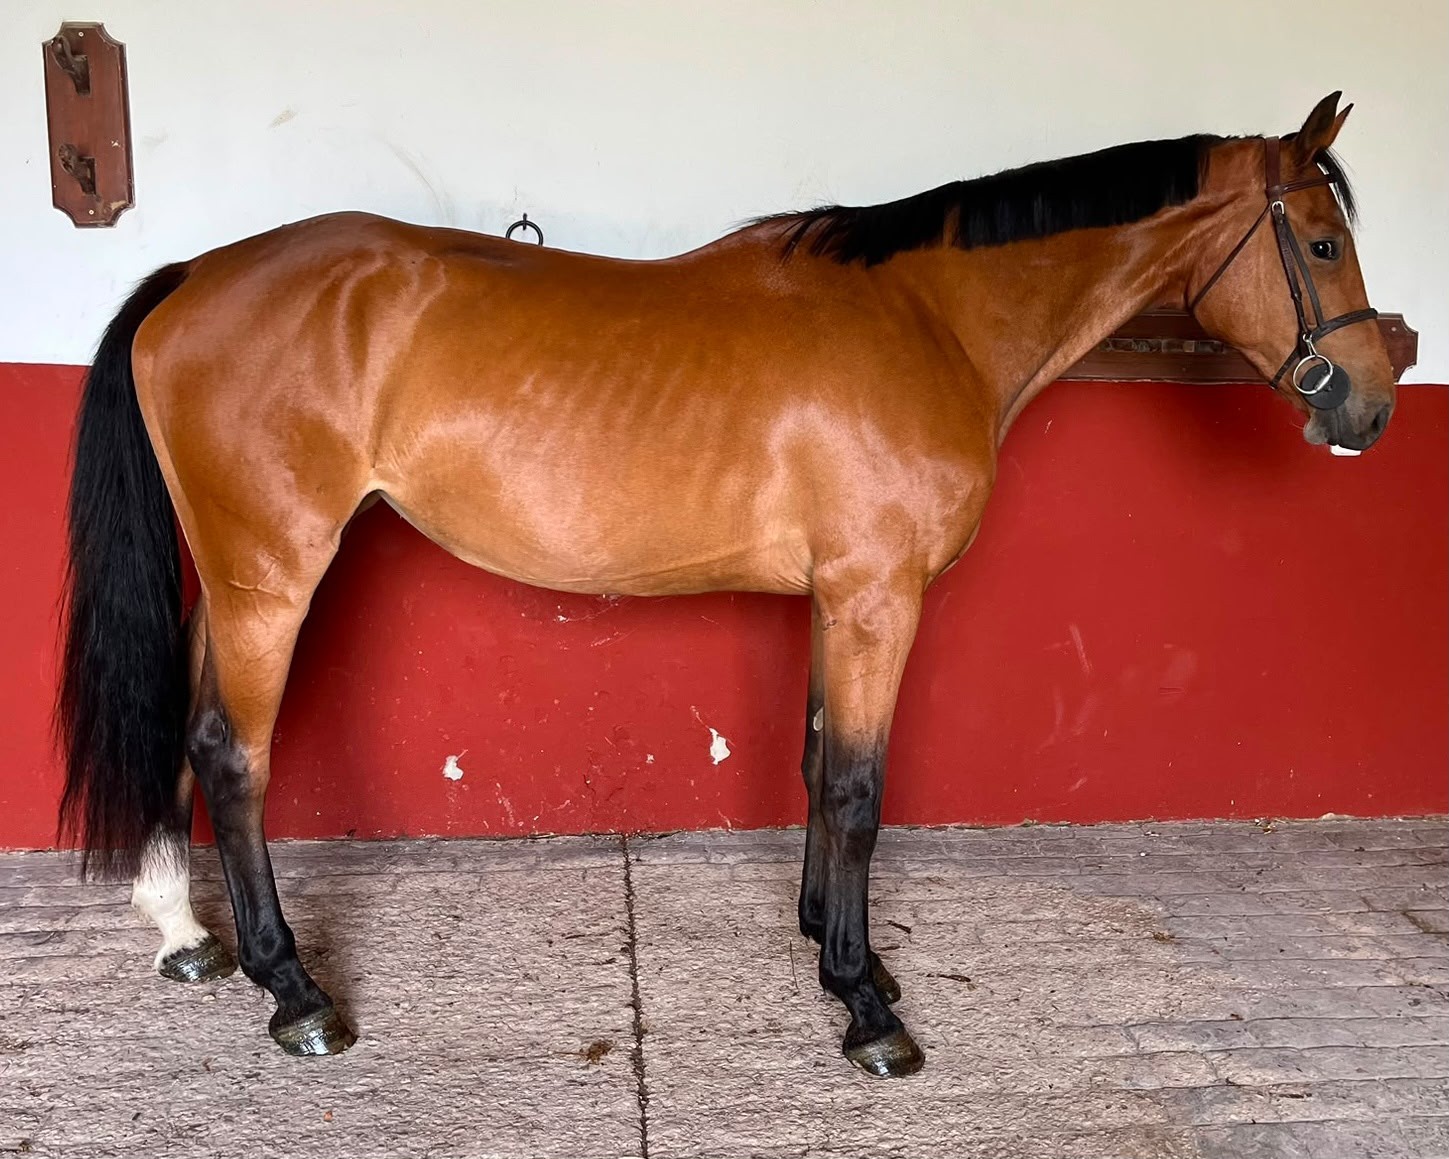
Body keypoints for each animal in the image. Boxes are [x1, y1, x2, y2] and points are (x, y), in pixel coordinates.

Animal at [57, 93, 1393, 1077]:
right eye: (1323, 243)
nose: (1372, 408)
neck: (932, 321)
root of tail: (195, 275)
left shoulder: (838, 599)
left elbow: (813, 762)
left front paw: (839, 950)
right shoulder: (877, 597)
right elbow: (858, 786)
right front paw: (866, 1008)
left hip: (232, 582)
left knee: (187, 730)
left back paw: (187, 935)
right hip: (272, 577)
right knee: (234, 755)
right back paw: (296, 992)